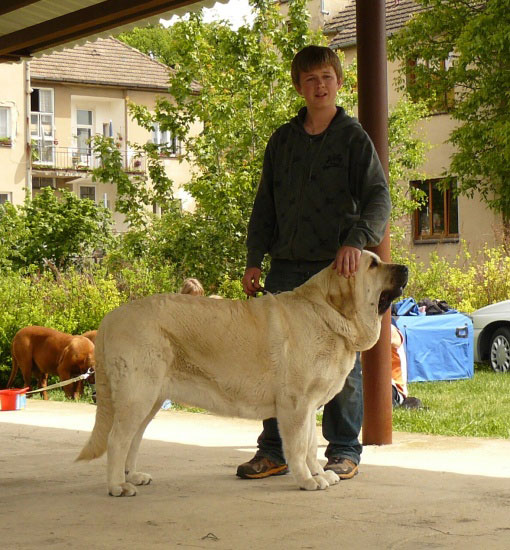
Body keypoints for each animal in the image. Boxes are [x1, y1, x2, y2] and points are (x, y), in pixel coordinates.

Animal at [77, 252, 408, 498]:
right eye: (373, 265)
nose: (404, 268)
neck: (328, 315)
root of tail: (110, 318)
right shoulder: (295, 405)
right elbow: (298, 447)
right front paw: (307, 480)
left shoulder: (308, 405)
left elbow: (312, 445)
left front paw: (319, 473)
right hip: (138, 395)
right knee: (117, 439)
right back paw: (117, 486)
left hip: (149, 399)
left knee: (132, 439)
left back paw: (132, 476)